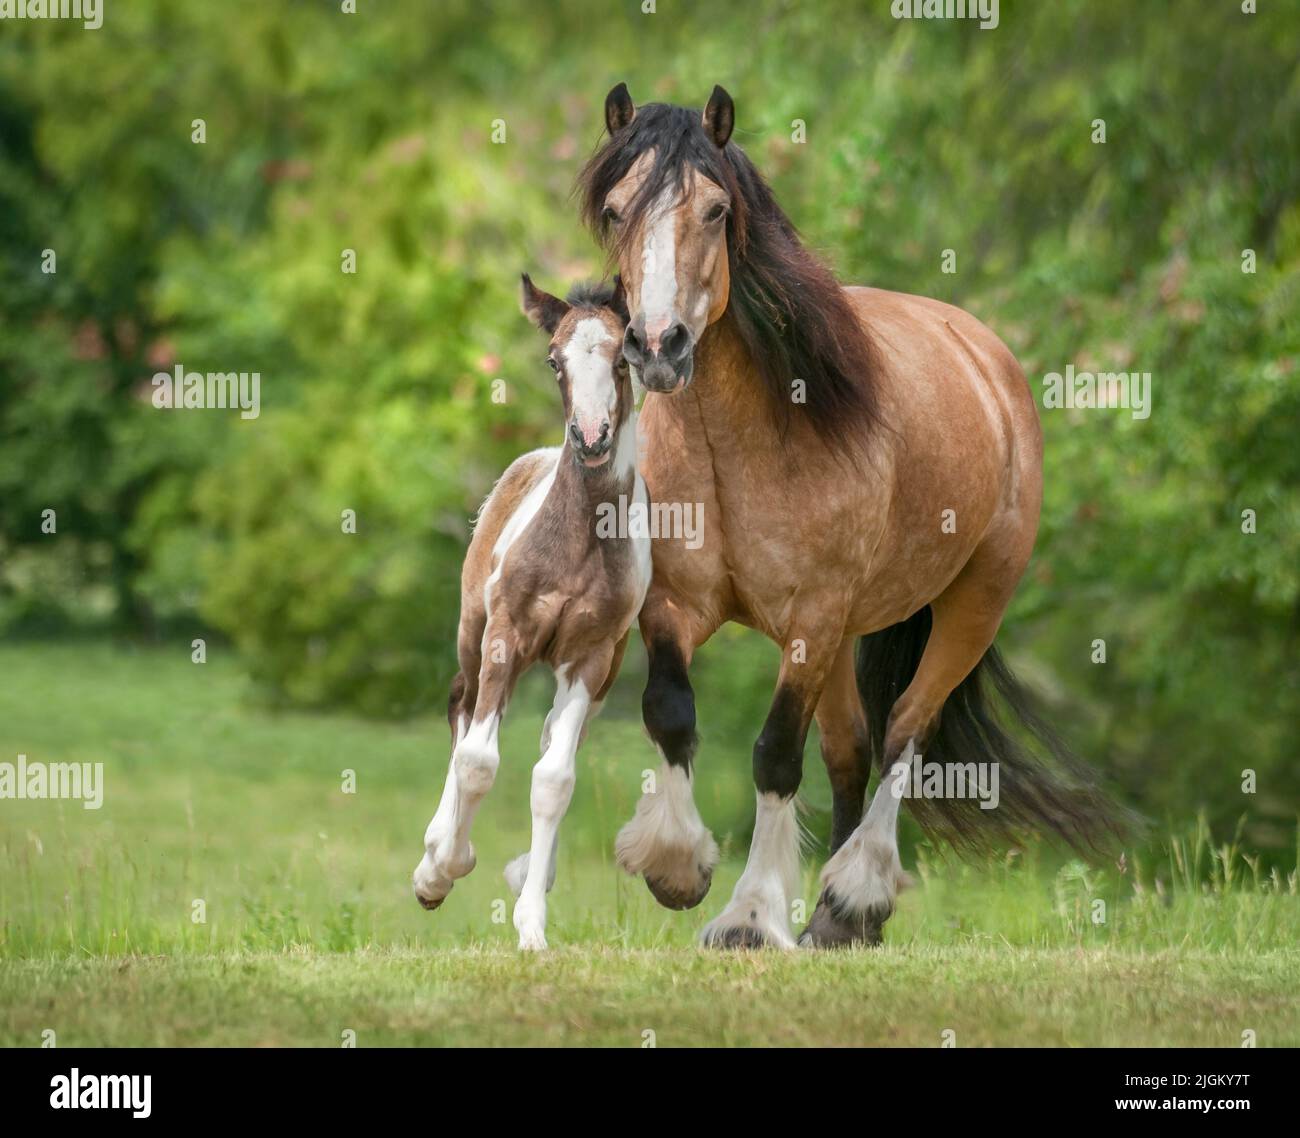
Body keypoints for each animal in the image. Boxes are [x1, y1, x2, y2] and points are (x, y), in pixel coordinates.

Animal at [412, 275, 649, 950]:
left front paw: (532, 925)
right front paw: (439, 872)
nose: (591, 437)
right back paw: (437, 848)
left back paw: (526, 874)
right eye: (554, 360)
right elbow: (478, 760)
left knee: (550, 741)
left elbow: (554, 779)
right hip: (473, 632)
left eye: (623, 356)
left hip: (606, 672)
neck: (579, 542)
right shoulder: (506, 635)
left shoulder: (590, 657)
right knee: (462, 709)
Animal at [580, 83, 1129, 949]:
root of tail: (985, 356)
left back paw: (853, 899)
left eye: (714, 208)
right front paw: (677, 869)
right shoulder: (674, 606)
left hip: (968, 606)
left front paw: (749, 915)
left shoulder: (812, 615)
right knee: (850, 749)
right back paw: (833, 925)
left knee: (904, 732)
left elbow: (775, 754)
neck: (731, 447)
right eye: (613, 209)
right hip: (843, 637)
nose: (659, 346)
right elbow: (671, 715)